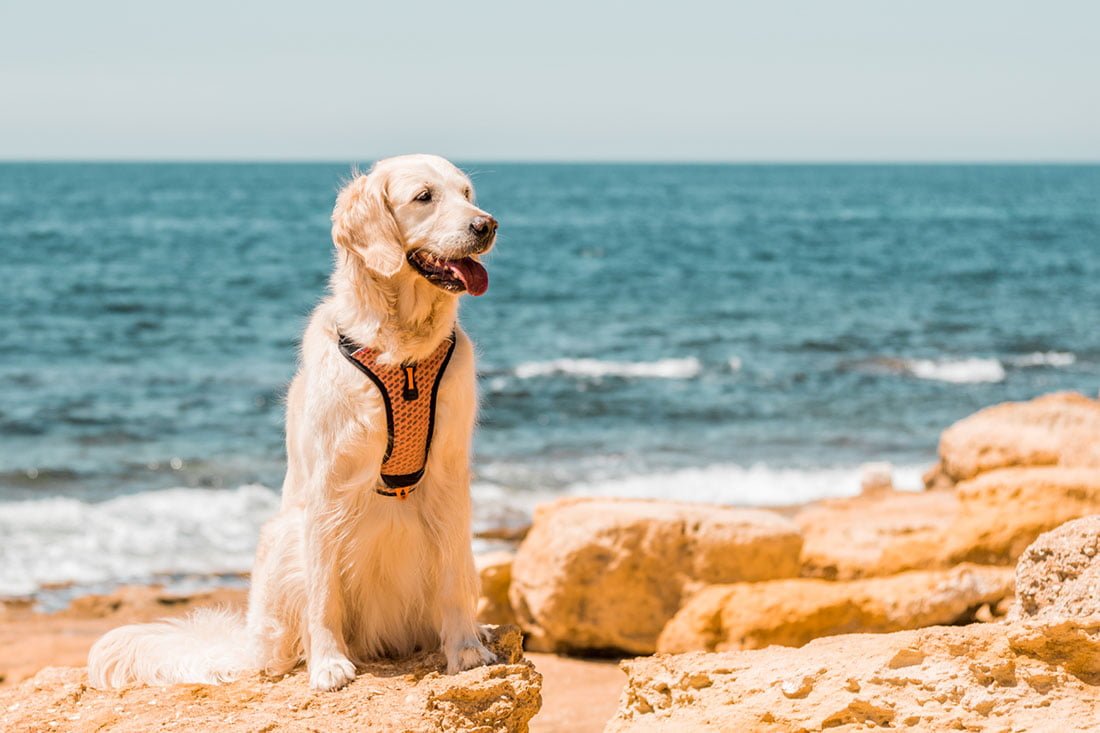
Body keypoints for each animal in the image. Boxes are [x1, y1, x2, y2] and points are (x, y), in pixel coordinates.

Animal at [89, 150, 499, 686]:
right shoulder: (328, 487)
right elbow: (323, 595)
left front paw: (466, 649)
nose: (487, 225)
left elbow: (452, 577)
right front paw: (328, 663)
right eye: (424, 197)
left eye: (467, 193)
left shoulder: (449, 473)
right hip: (283, 537)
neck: (402, 352)